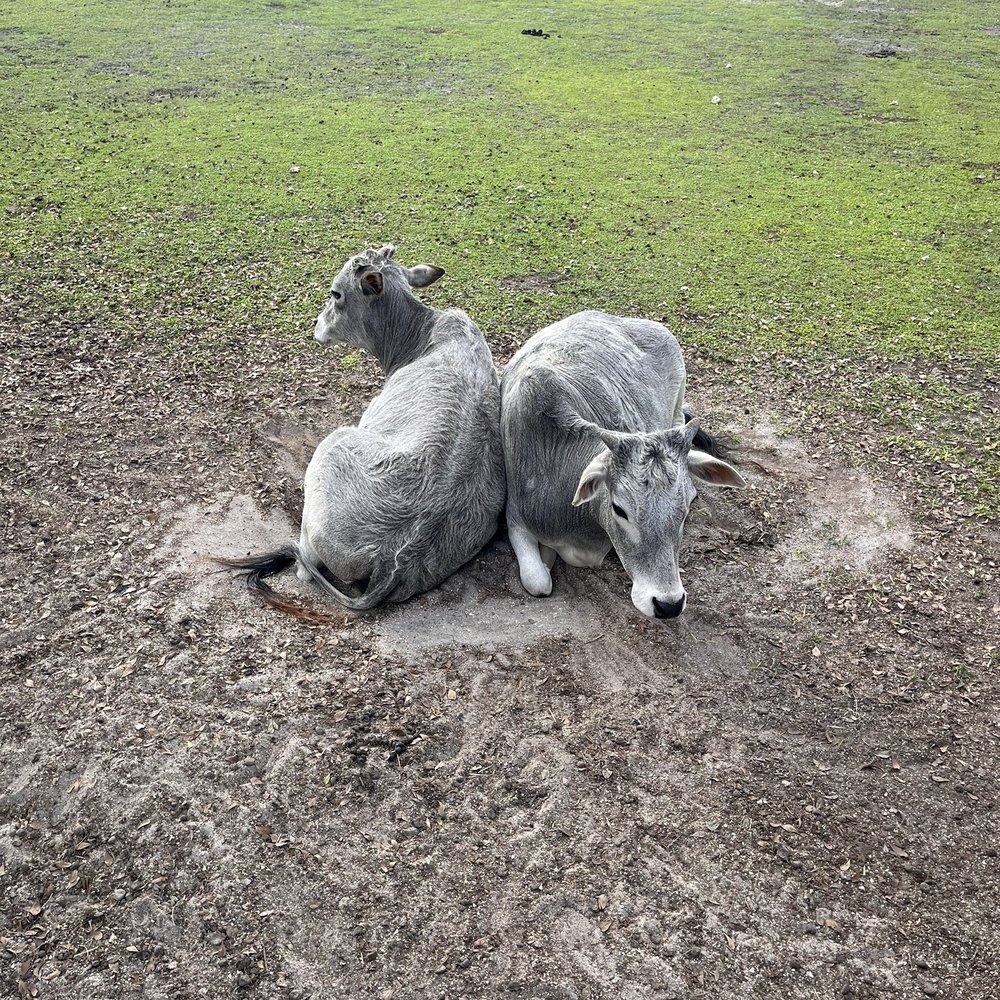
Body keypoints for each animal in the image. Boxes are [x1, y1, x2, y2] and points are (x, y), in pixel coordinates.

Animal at [218, 244, 506, 617]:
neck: (421, 336)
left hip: (333, 446)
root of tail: (393, 557)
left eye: (336, 293)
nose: (316, 324)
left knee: (304, 566)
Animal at [500, 310, 745, 619]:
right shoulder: (515, 519)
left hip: (678, 401)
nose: (668, 604)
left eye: (688, 505)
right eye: (619, 509)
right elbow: (537, 581)